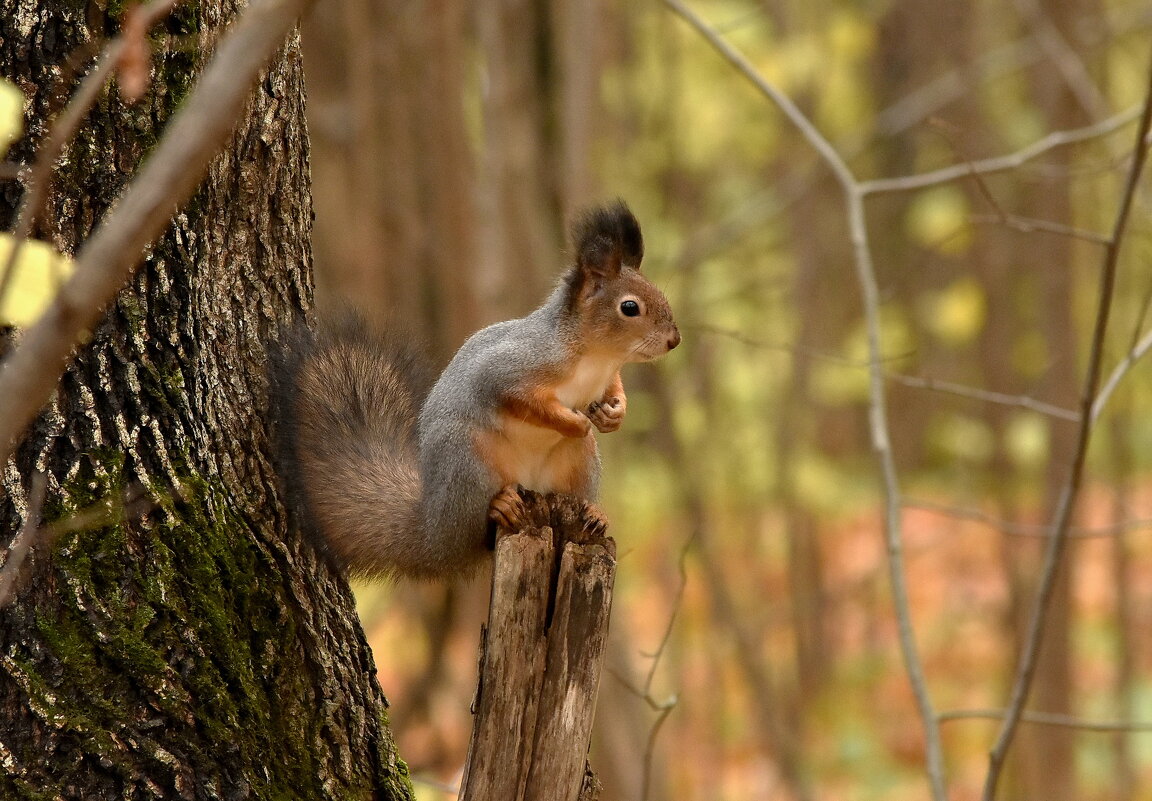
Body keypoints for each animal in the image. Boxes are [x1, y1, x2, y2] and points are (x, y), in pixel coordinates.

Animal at [277, 199, 677, 576]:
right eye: (629, 307)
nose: (675, 340)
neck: (597, 357)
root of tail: (434, 530)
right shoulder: (509, 370)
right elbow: (524, 401)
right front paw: (575, 422)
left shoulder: (606, 376)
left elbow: (614, 391)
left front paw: (614, 414)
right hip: (468, 459)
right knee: (475, 527)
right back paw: (500, 506)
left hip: (577, 465)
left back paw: (595, 513)